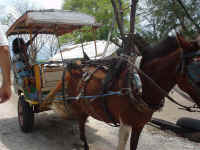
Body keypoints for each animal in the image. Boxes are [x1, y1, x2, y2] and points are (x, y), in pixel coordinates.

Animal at [48, 34, 200, 150]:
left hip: (85, 107)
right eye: (194, 70)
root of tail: (75, 65)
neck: (138, 85)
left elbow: (134, 146)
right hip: (78, 106)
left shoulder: (139, 125)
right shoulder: (125, 124)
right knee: (81, 129)